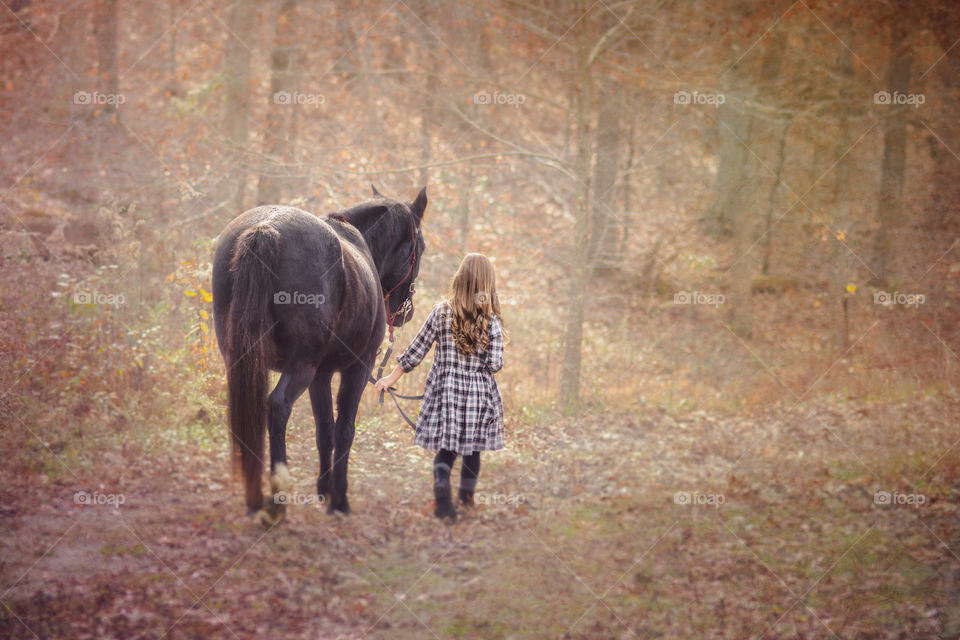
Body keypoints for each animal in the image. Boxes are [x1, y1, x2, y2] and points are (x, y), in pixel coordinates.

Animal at [212, 185, 426, 524]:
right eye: (421, 247)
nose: (406, 312)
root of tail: (265, 229)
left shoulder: (321, 374)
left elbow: (324, 429)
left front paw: (324, 490)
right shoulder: (357, 367)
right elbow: (344, 428)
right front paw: (339, 500)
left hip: (246, 362)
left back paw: (254, 498)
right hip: (302, 366)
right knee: (278, 407)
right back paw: (277, 500)